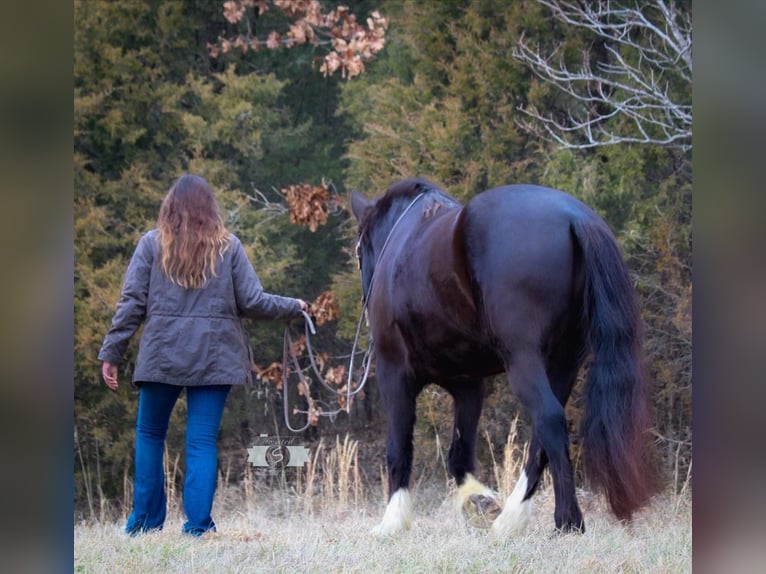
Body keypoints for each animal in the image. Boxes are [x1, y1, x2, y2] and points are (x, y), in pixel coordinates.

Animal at [352, 178, 656, 536]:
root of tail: (574, 216)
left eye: (359, 250)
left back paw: (567, 520)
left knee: (549, 420)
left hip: (523, 359)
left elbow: (399, 447)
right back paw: (510, 519)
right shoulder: (468, 384)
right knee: (542, 434)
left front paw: (393, 521)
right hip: (564, 362)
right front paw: (479, 501)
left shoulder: (394, 375)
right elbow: (460, 453)